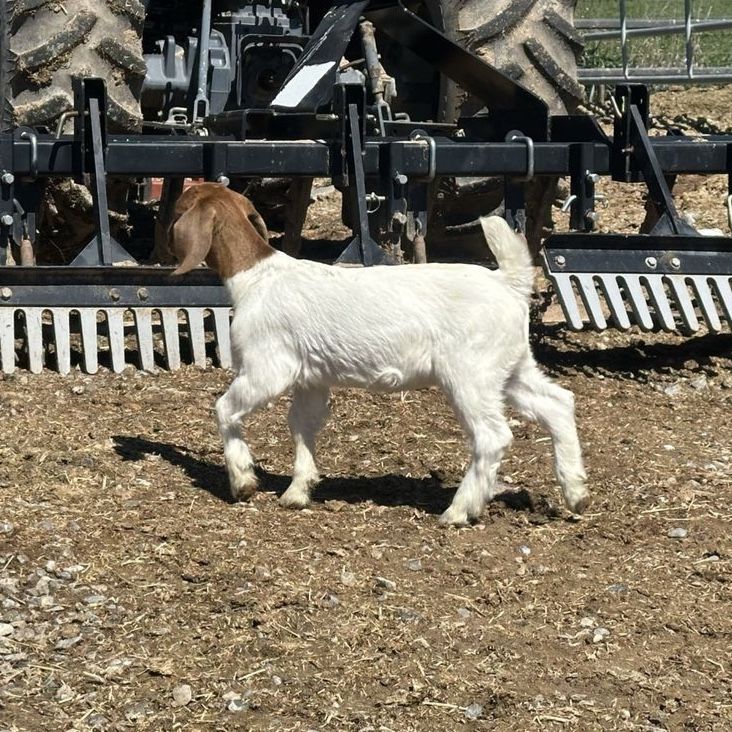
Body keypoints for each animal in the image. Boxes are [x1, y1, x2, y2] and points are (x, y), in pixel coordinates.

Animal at [168, 182, 589, 525]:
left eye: (177, 208)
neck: (255, 277)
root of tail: (509, 283)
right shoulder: (311, 378)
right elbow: (302, 425)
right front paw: (297, 492)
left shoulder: (267, 366)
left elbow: (225, 408)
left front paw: (243, 481)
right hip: (510, 366)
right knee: (557, 403)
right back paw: (577, 492)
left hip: (471, 373)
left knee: (493, 435)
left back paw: (459, 510)